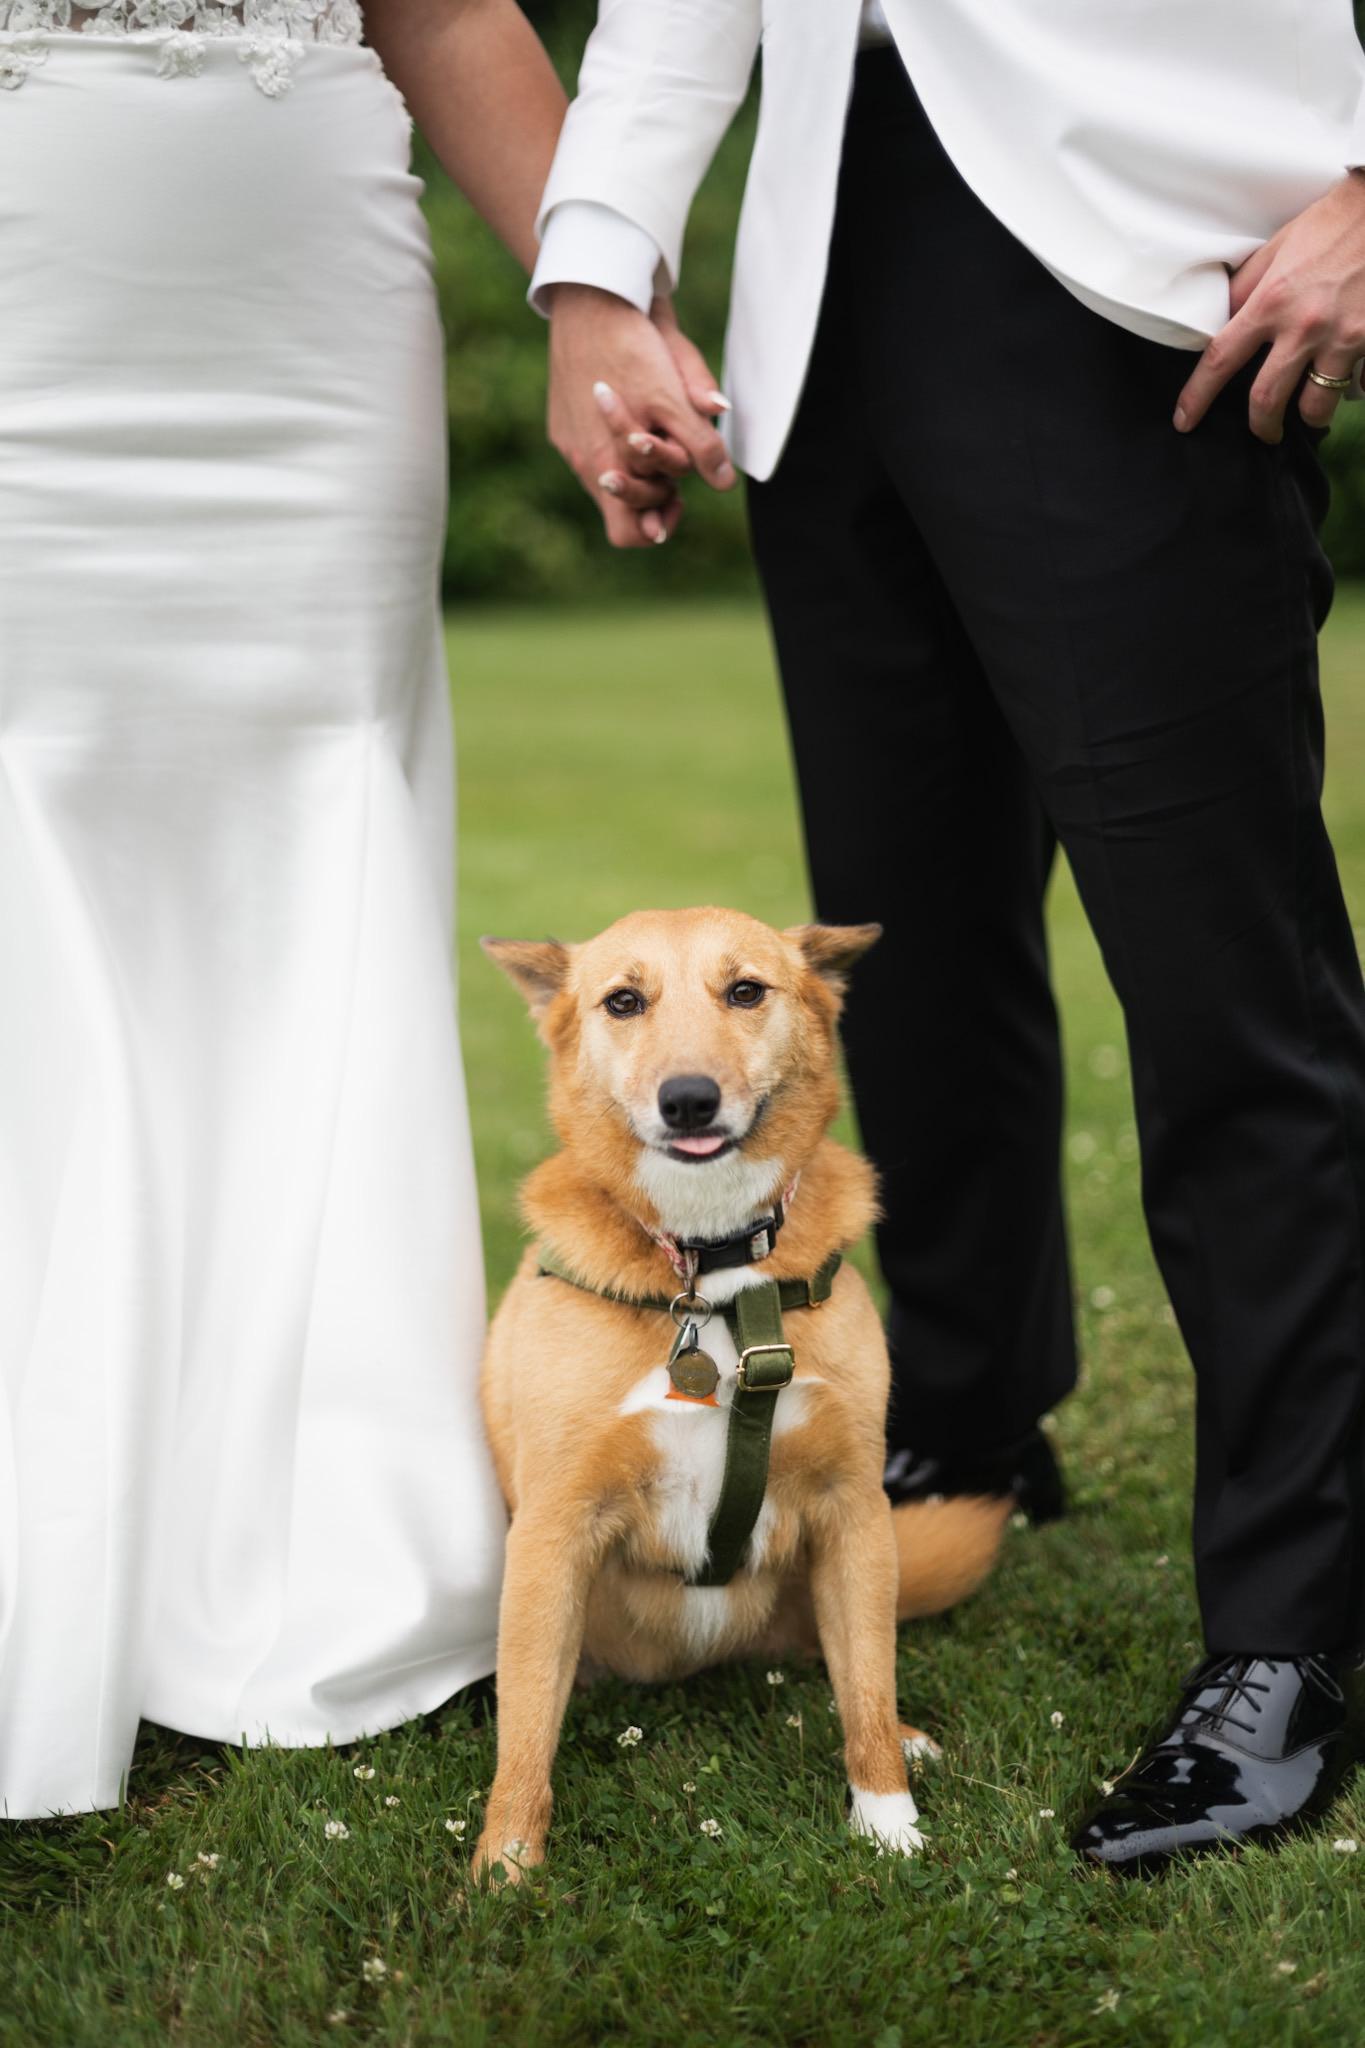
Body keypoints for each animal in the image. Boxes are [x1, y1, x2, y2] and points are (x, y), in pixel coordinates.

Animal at [475, 907, 1009, 1880]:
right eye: (623, 1001)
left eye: (746, 991)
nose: (687, 1100)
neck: (712, 1271)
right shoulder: (551, 1530)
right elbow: (527, 1730)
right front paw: (505, 1870)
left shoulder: (852, 1511)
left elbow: (866, 1690)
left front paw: (889, 1824)